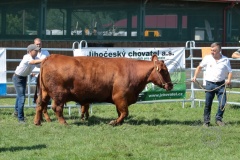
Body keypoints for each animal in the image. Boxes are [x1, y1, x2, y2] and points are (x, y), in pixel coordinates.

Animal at [33, 54, 172, 125]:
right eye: (164, 71)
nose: (170, 85)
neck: (133, 72)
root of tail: (51, 57)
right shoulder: (120, 97)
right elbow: (124, 112)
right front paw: (114, 122)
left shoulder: (120, 100)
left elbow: (121, 112)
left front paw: (118, 122)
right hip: (59, 94)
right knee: (56, 108)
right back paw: (64, 123)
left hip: (44, 92)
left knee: (40, 105)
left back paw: (37, 122)